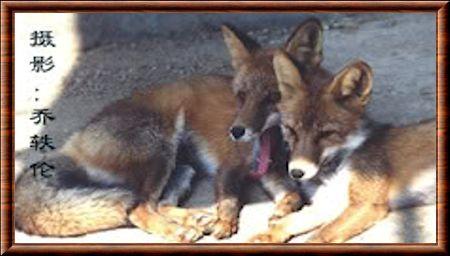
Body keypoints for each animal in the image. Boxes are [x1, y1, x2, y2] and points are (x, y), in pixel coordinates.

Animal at [14, 18, 324, 242]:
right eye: (241, 96)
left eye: (273, 97)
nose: (236, 131)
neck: (273, 143)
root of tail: (73, 143)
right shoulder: (228, 168)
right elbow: (229, 201)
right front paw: (224, 223)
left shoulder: (273, 174)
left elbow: (294, 196)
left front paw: (280, 213)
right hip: (159, 152)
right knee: (137, 209)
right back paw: (179, 230)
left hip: (182, 169)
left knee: (157, 205)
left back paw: (194, 218)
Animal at [250, 49, 436, 242]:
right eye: (291, 130)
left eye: (326, 134)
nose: (296, 173)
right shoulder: (329, 202)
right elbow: (288, 222)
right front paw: (265, 236)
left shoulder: (366, 204)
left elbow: (319, 235)